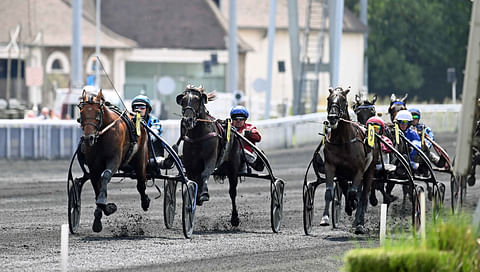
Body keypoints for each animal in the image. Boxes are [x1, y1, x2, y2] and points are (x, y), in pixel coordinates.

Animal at [79, 89, 150, 232]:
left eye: (97, 113)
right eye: (82, 113)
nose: (89, 138)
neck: (103, 136)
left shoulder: (114, 159)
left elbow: (105, 175)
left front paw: (102, 202)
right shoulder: (93, 167)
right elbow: (97, 186)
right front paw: (101, 215)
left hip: (140, 159)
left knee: (141, 183)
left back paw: (145, 202)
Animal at [320, 87, 376, 234]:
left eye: (343, 99)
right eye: (328, 99)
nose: (332, 117)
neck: (342, 140)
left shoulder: (359, 169)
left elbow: (353, 193)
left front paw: (354, 205)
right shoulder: (331, 167)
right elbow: (330, 191)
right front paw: (325, 218)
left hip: (369, 171)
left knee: (364, 195)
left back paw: (360, 223)